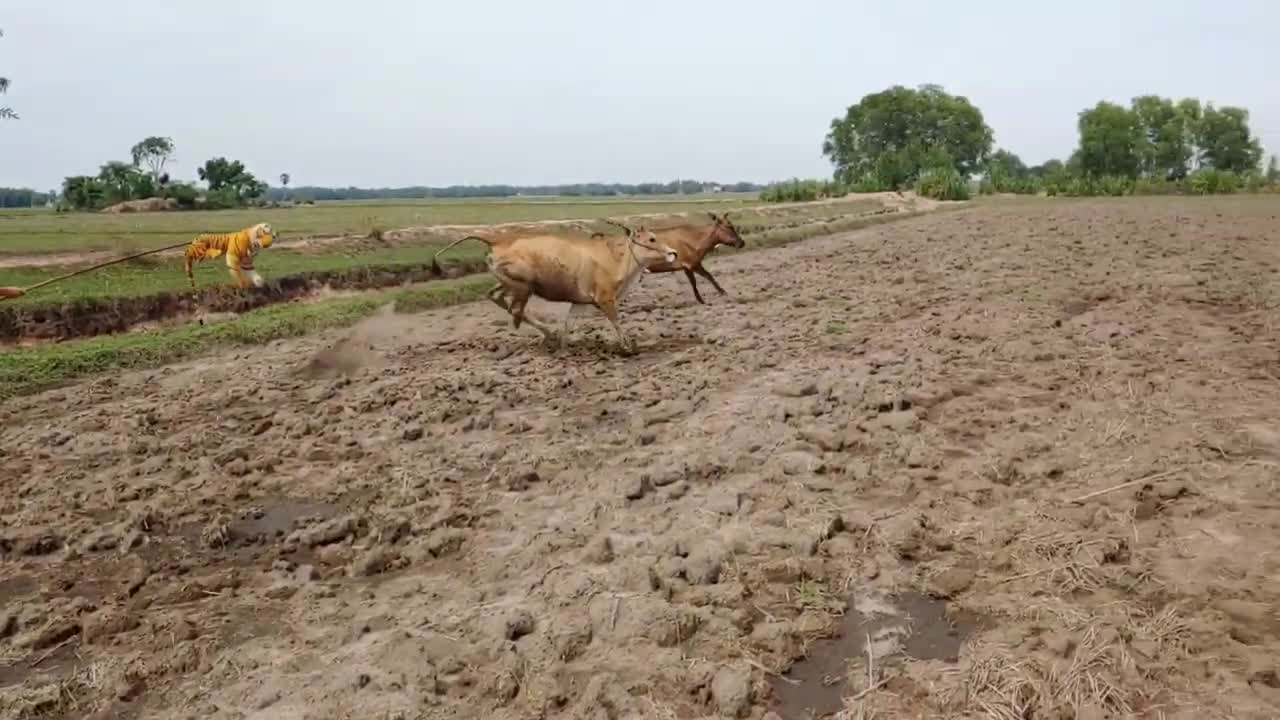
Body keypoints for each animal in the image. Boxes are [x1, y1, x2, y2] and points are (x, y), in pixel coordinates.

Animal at [432, 221, 680, 351]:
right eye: (651, 239)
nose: (673, 252)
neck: (616, 261)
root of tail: (497, 240)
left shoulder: (580, 302)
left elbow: (569, 324)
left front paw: (565, 345)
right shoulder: (605, 299)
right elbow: (616, 322)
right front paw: (627, 346)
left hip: (507, 282)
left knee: (495, 296)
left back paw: (549, 335)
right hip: (524, 286)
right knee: (514, 308)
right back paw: (542, 332)